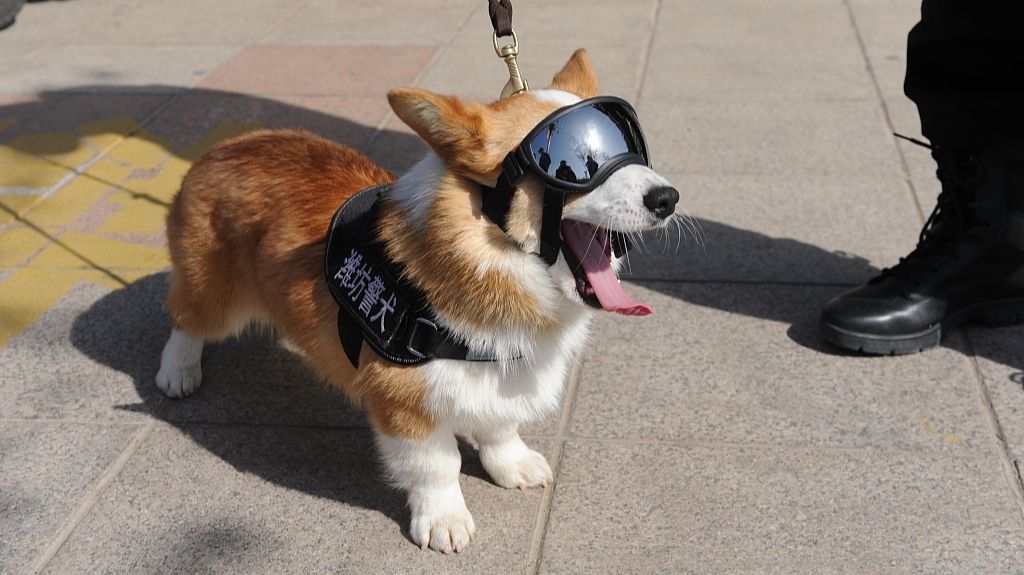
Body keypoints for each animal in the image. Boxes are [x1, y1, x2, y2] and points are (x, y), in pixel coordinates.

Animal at [155, 49, 679, 553]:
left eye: (629, 145)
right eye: (573, 162)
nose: (668, 198)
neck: (484, 254)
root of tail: (223, 146)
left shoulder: (501, 375)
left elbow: (500, 426)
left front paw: (513, 465)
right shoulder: (405, 402)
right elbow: (437, 467)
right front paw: (444, 522)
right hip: (214, 293)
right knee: (185, 319)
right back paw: (178, 373)